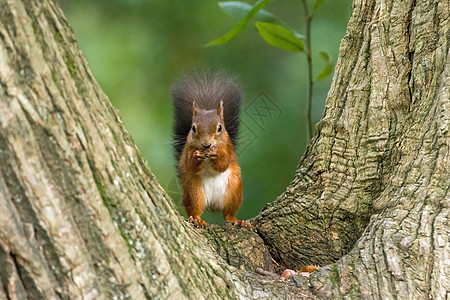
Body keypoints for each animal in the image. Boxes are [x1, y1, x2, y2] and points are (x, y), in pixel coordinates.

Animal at [170, 70, 253, 230]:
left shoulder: (228, 148)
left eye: (220, 128)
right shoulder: (188, 149)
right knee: (195, 210)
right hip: (194, 192)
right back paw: (197, 220)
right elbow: (190, 164)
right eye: (193, 128)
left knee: (228, 214)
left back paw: (238, 221)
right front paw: (196, 157)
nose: (206, 145)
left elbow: (224, 163)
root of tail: (212, 205)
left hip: (234, 190)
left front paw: (217, 155)